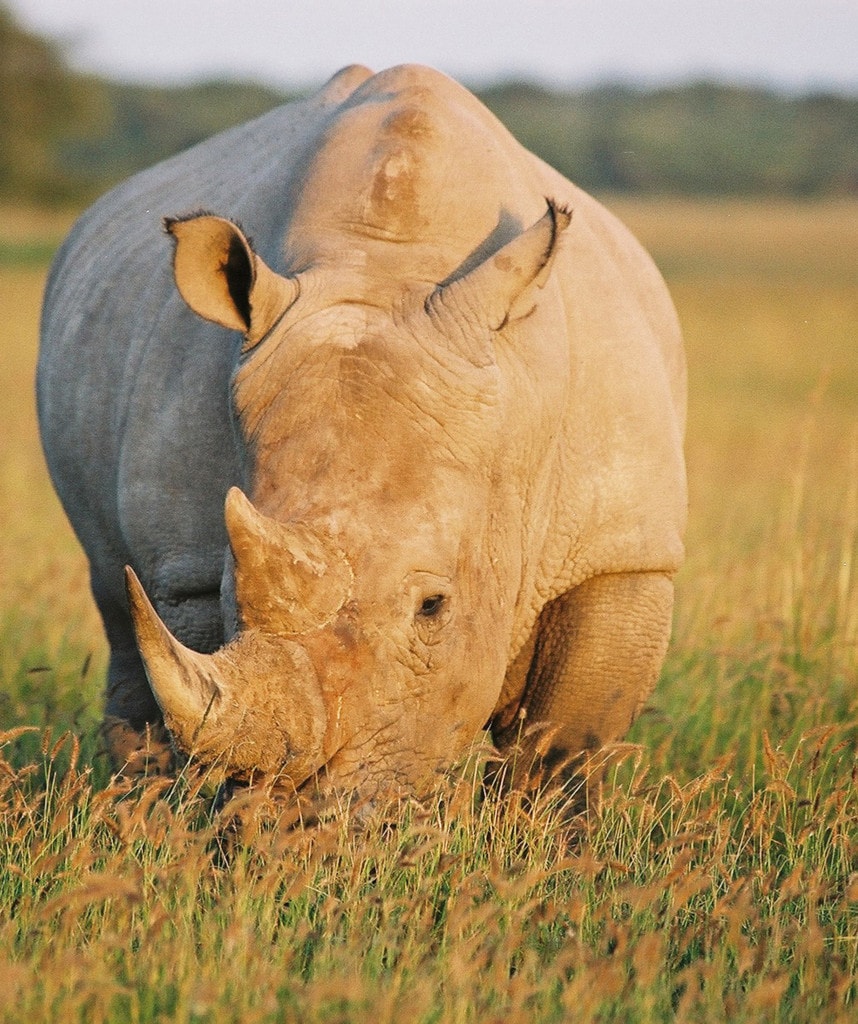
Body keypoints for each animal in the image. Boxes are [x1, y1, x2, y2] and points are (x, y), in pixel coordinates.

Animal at [38, 64, 686, 810]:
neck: (384, 267)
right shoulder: (186, 571)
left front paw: (546, 834)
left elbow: (562, 744)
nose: (304, 804)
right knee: (118, 604)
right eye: (232, 589)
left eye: (434, 608)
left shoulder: (622, 552)